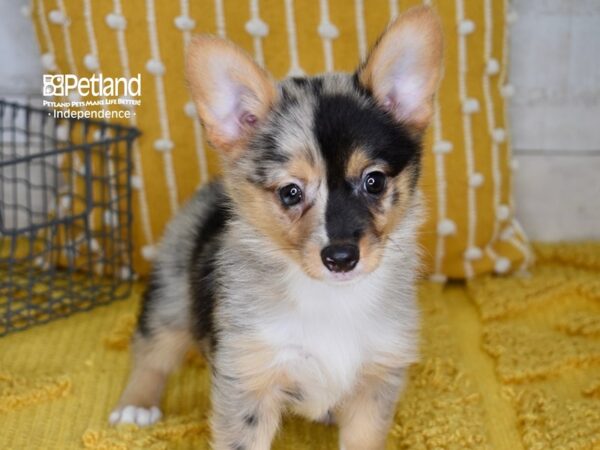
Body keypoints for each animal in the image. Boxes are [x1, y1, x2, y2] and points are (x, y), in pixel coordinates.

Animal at [110, 7, 442, 450]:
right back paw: (136, 405)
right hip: (173, 293)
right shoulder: (249, 377)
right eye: (290, 192)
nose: (341, 258)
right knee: (152, 349)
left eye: (374, 181)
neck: (330, 301)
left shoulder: (376, 381)